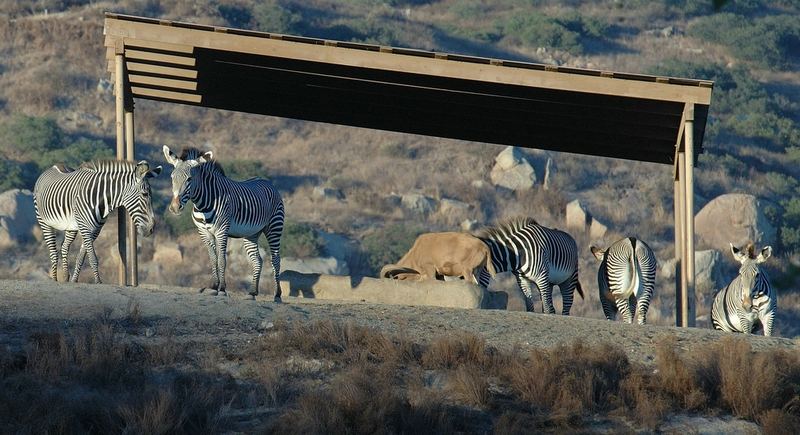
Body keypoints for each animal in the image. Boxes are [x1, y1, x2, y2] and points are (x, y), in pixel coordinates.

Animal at [35, 159, 163, 282]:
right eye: (145, 194)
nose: (151, 229)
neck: (101, 200)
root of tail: (54, 166)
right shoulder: (85, 228)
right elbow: (93, 258)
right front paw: (98, 281)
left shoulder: (95, 230)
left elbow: (81, 257)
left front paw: (74, 280)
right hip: (44, 222)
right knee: (53, 252)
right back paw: (54, 278)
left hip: (71, 227)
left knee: (64, 247)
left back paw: (66, 276)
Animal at [162, 146, 284, 304]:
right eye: (172, 177)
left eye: (189, 179)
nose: (175, 208)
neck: (202, 204)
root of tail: (267, 181)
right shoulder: (204, 232)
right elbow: (213, 258)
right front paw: (213, 287)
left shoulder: (221, 231)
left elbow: (222, 260)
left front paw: (222, 289)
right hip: (251, 234)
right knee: (257, 260)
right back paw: (252, 292)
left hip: (274, 227)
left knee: (275, 259)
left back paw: (277, 295)